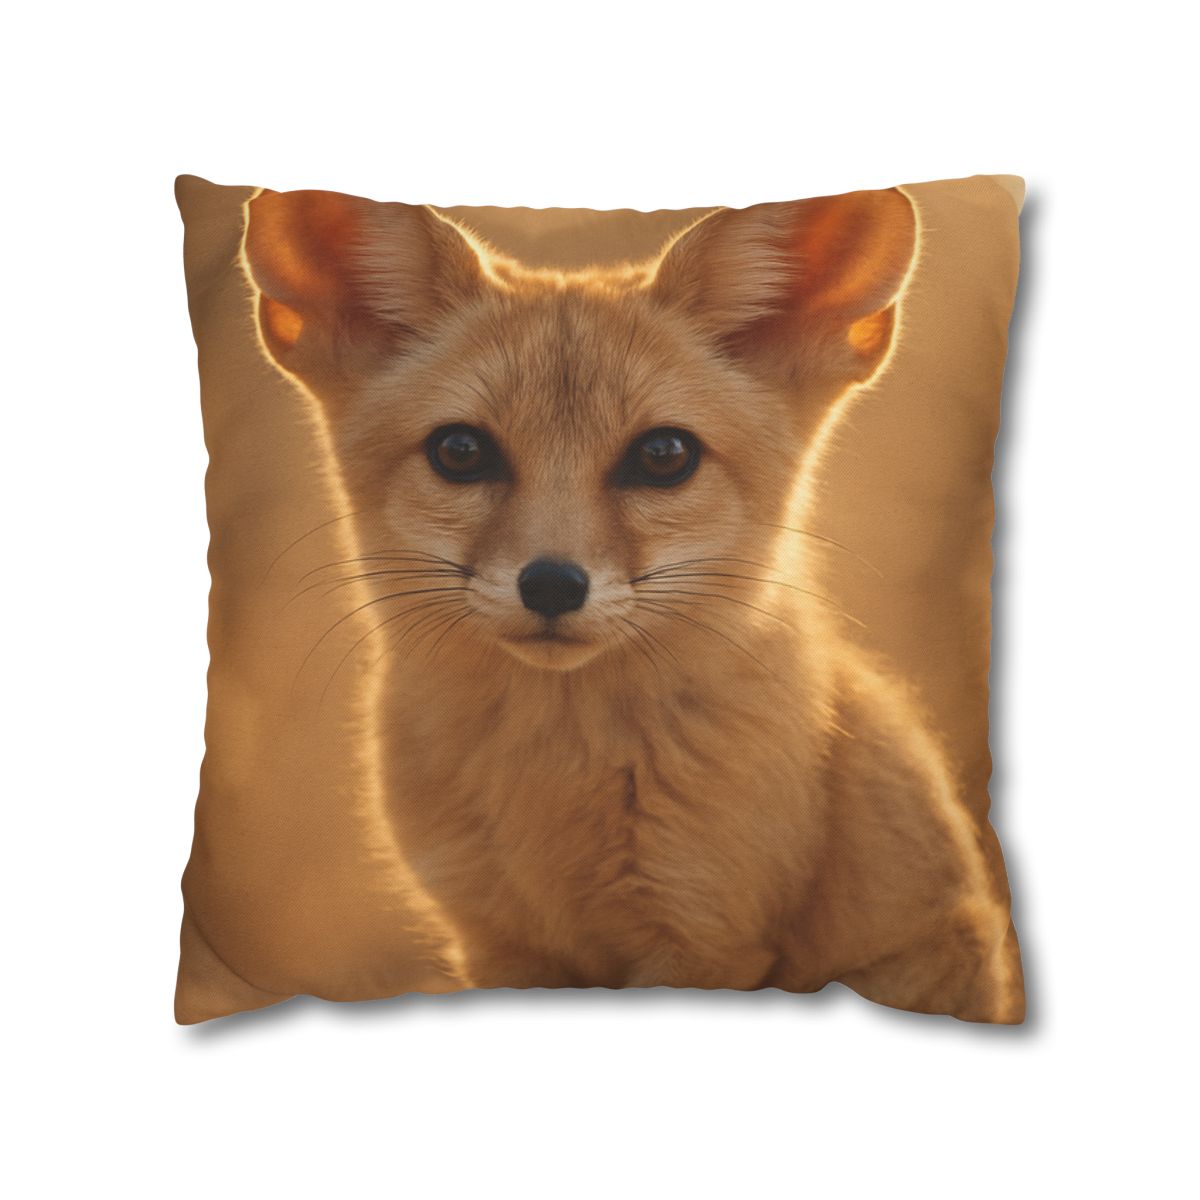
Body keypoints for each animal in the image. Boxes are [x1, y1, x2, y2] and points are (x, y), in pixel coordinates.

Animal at [242, 184, 1023, 1022]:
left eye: (663, 455)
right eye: (460, 451)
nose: (553, 584)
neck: (556, 785)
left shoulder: (704, 934)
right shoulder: (496, 939)